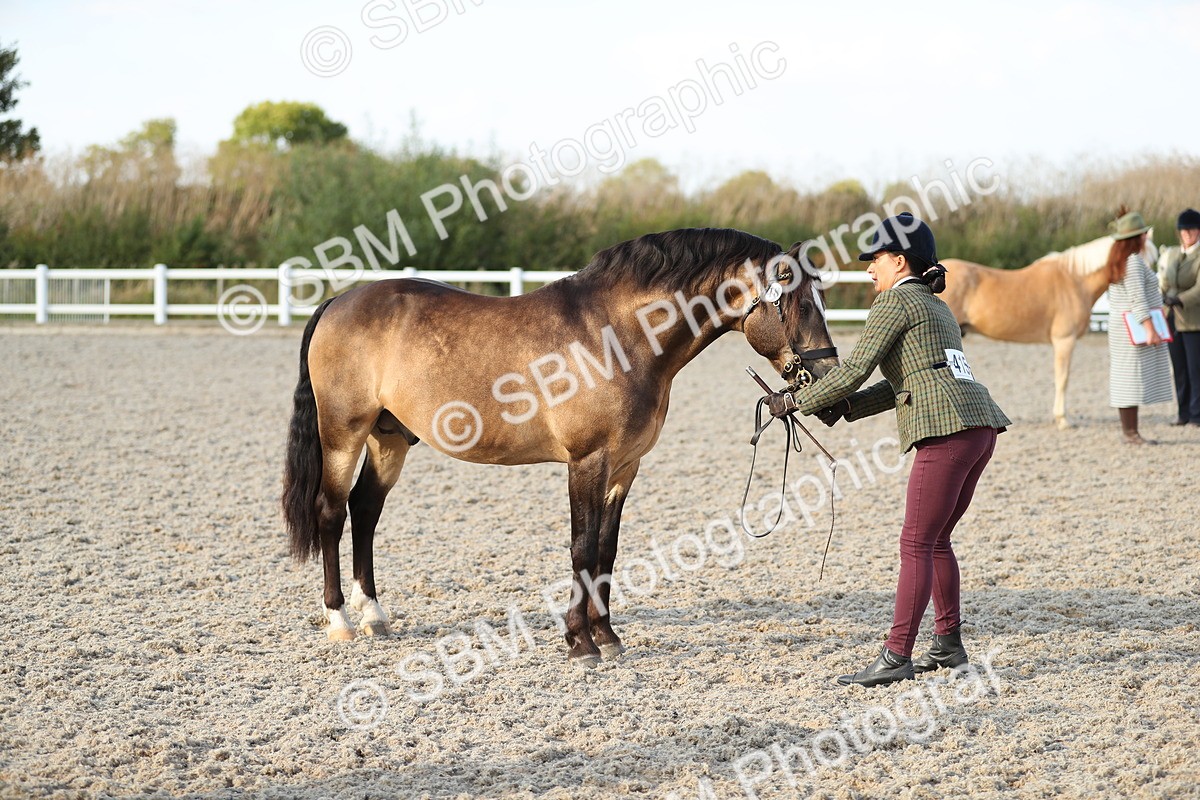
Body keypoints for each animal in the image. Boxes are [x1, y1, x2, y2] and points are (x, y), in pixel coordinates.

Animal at [280, 228, 839, 666]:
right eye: (798, 303)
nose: (826, 373)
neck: (617, 336)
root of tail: (338, 302)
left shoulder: (624, 467)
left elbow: (606, 550)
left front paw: (607, 636)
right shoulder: (586, 462)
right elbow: (581, 548)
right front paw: (579, 643)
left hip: (389, 438)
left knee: (365, 510)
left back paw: (374, 614)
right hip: (343, 435)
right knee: (331, 512)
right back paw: (340, 619)